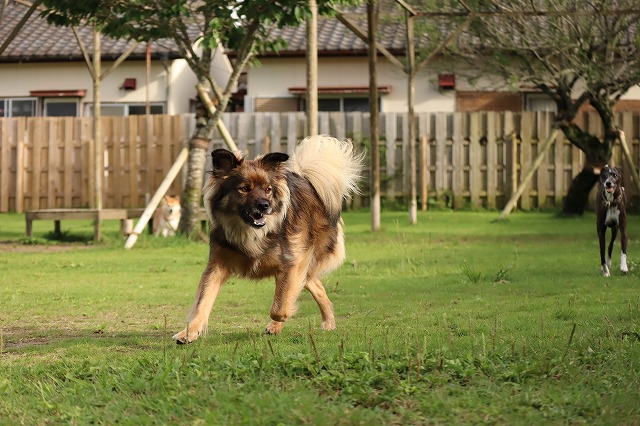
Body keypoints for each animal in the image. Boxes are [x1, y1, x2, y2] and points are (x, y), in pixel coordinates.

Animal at [172, 135, 363, 344]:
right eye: (244, 189)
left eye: (268, 189)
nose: (265, 205)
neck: (250, 232)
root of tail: (307, 180)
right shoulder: (217, 265)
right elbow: (202, 302)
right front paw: (189, 332)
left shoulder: (291, 262)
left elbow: (280, 306)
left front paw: (283, 317)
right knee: (316, 286)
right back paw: (328, 322)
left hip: (305, 257)